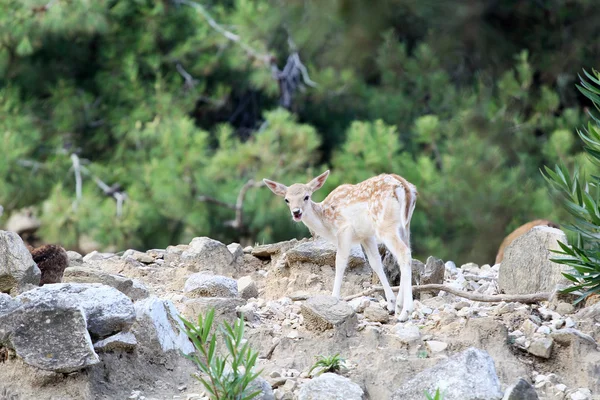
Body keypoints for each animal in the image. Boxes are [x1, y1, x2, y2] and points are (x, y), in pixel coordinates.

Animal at [262, 170, 418, 320]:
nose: (296, 212)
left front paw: (334, 298)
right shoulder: (366, 235)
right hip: (404, 225)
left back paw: (405, 312)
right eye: (286, 200)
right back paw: (399, 307)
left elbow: (340, 262)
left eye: (306, 197)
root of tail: (404, 186)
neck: (326, 223)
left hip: (385, 225)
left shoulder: (344, 230)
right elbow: (375, 263)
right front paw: (391, 304)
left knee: (403, 253)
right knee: (406, 253)